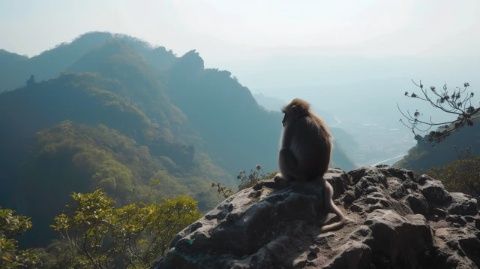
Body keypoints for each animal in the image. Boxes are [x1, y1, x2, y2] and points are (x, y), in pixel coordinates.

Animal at [274, 97, 352, 231]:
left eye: (286, 114)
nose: (283, 121)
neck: (305, 115)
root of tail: (316, 176)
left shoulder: (291, 127)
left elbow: (285, 147)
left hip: (298, 173)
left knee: (283, 152)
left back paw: (285, 179)